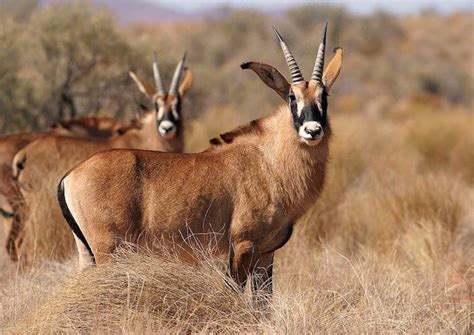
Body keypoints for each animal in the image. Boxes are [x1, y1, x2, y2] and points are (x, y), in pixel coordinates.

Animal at [59, 25, 342, 306]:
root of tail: (70, 176)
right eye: (292, 97)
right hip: (109, 249)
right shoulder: (242, 246)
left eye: (324, 96)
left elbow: (263, 306)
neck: (268, 160)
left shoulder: (266, 253)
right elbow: (235, 297)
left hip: (88, 253)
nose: (312, 130)